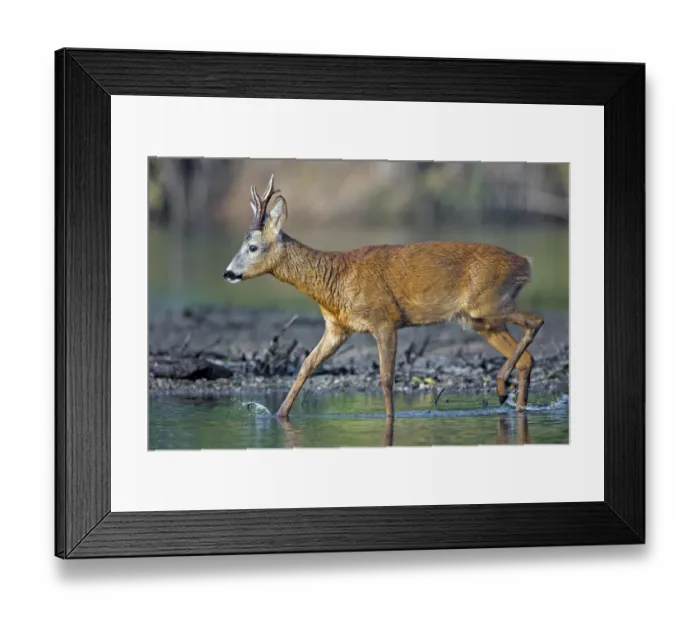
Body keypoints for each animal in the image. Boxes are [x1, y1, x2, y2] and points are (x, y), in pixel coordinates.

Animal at [223, 173, 544, 425]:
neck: (334, 282)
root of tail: (525, 263)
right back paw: (514, 403)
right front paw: (278, 415)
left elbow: (386, 378)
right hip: (480, 320)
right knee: (527, 358)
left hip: (489, 303)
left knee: (536, 320)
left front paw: (389, 419)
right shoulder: (337, 328)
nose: (228, 273)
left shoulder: (385, 319)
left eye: (252, 247)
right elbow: (306, 365)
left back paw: (501, 385)